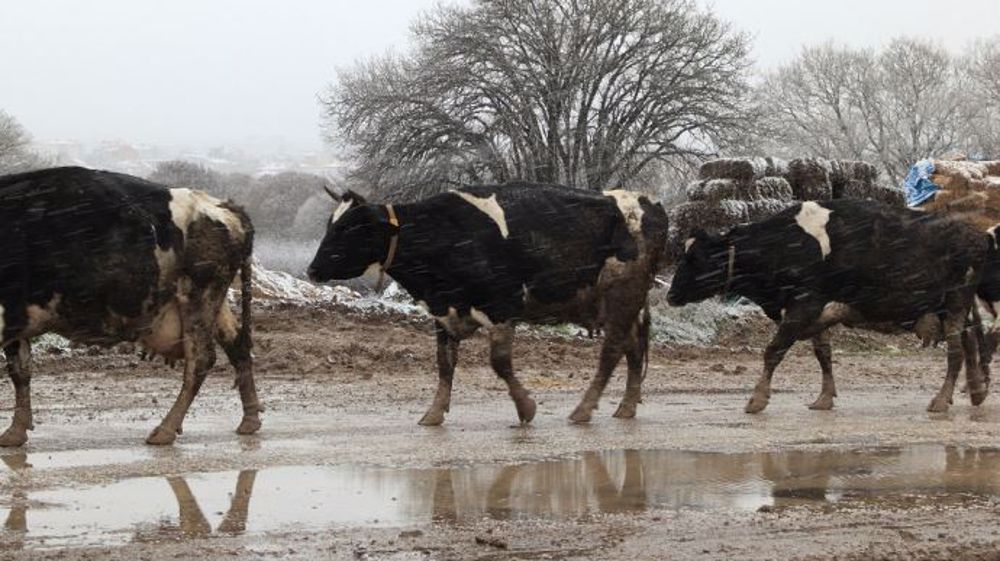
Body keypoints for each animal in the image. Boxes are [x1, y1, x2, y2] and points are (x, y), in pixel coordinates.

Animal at [0, 166, 262, 446]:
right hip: (214, 302)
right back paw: (250, 419)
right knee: (238, 346)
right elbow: (20, 371)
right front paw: (16, 431)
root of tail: (221, 206)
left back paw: (166, 429)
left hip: (199, 295)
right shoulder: (16, 322)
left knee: (200, 359)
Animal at [307, 183, 668, 425]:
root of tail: (648, 202)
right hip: (616, 303)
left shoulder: (501, 306)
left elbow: (500, 363)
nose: (312, 269)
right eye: (329, 225)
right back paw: (626, 407)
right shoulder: (444, 312)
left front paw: (526, 407)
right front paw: (433, 413)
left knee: (612, 351)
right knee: (632, 348)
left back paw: (583, 410)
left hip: (623, 294)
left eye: (348, 228)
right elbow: (444, 364)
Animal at [666, 199, 991, 414]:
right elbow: (823, 353)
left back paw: (941, 400)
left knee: (956, 352)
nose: (670, 295)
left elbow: (773, 351)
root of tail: (977, 234)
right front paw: (824, 397)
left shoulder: (804, 305)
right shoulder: (813, 311)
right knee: (971, 342)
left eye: (695, 258)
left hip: (955, 304)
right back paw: (976, 390)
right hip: (951, 309)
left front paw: (757, 399)